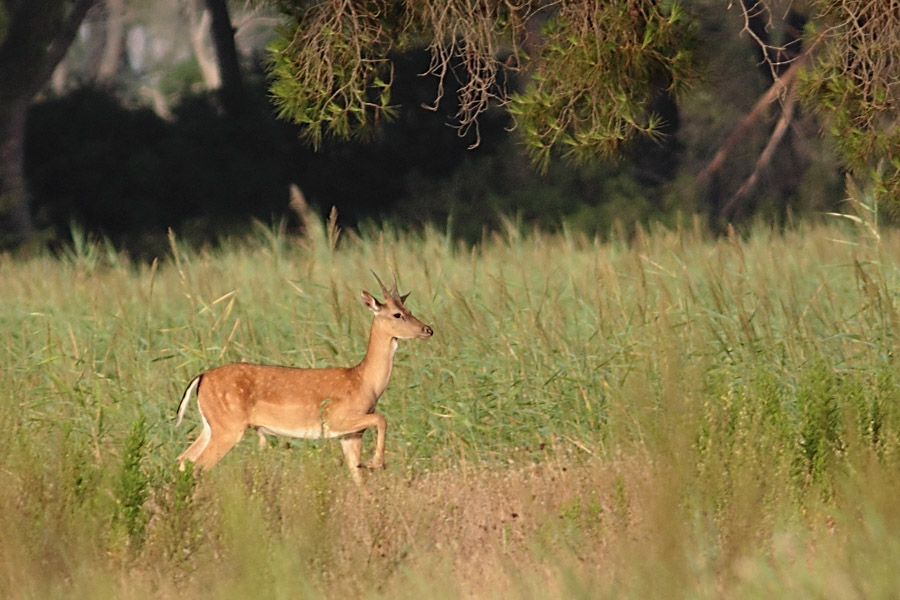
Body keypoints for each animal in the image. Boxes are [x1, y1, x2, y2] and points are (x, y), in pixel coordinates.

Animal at [174, 272, 434, 482]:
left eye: (410, 311)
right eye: (397, 314)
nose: (428, 329)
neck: (364, 382)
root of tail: (201, 377)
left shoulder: (350, 435)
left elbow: (358, 477)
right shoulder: (337, 419)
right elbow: (382, 419)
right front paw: (376, 462)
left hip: (211, 425)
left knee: (184, 459)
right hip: (229, 427)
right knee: (197, 465)